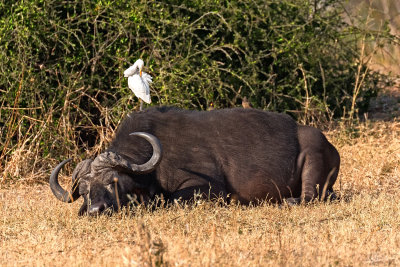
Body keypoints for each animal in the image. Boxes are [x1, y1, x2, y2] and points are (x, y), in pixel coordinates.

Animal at [48, 106, 340, 216]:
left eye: (113, 181)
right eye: (85, 190)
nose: (96, 210)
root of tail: (331, 147)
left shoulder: (208, 187)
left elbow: (172, 200)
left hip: (313, 155)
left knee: (309, 196)